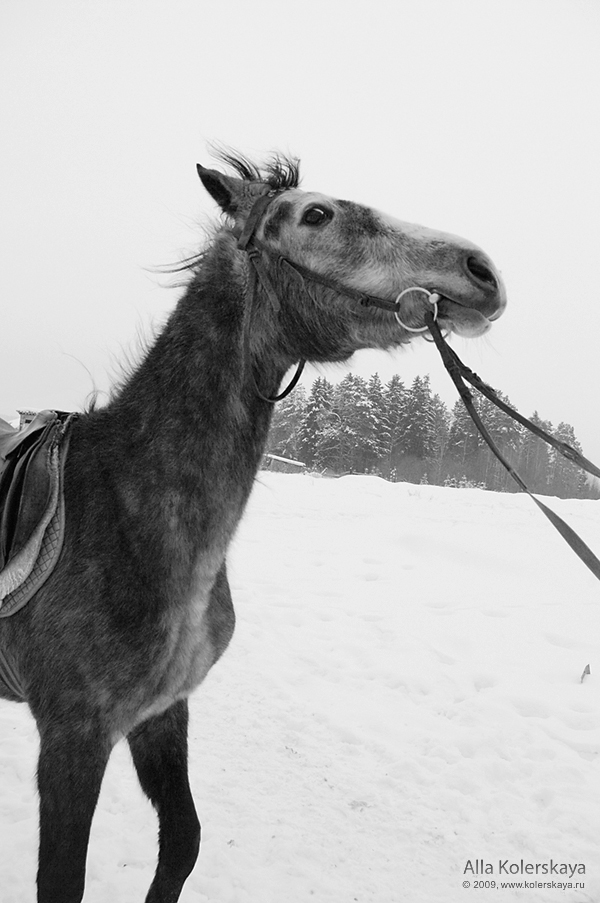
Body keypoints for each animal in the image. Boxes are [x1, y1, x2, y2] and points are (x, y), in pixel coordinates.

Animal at [0, 150, 506, 902]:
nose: (482, 270)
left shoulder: (162, 713)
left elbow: (183, 842)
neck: (124, 508)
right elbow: (64, 879)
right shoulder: (74, 734)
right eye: (316, 214)